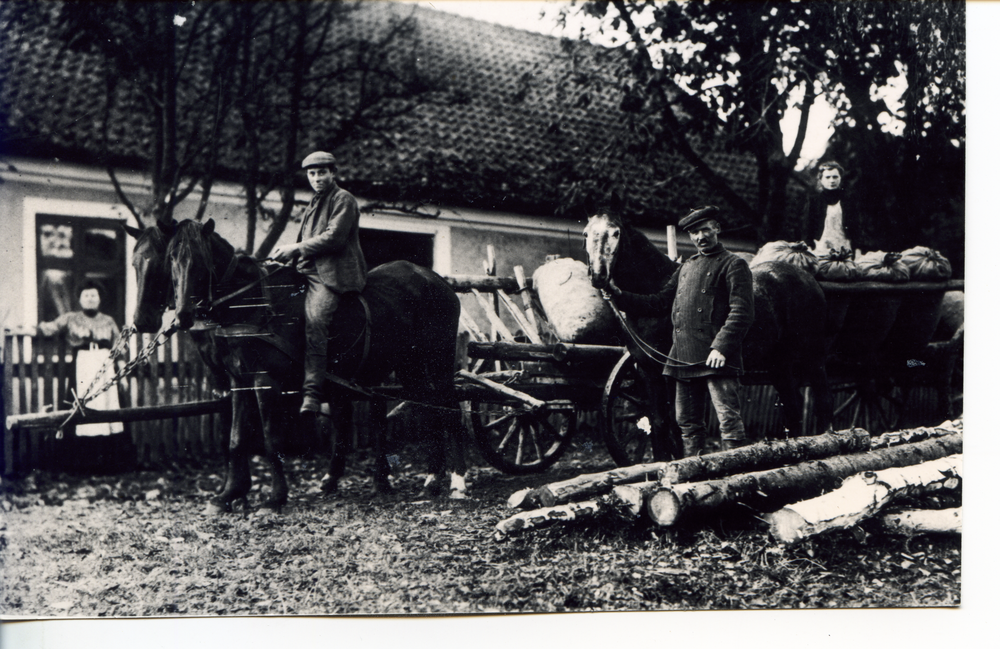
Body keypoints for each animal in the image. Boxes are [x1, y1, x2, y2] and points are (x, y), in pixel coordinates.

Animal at [584, 213, 832, 456]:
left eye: (616, 233)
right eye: (586, 233)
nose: (598, 276)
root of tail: (807, 279)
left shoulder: (671, 373)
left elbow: (675, 424)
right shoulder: (649, 373)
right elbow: (660, 423)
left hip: (811, 361)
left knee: (819, 404)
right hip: (779, 366)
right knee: (793, 408)